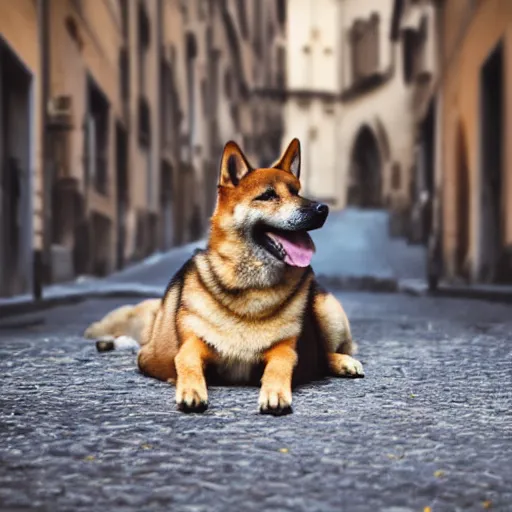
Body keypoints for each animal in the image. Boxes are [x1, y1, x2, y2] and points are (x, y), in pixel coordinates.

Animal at [85, 138, 364, 414]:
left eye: (296, 191)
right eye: (268, 195)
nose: (322, 208)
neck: (252, 285)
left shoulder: (285, 348)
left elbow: (282, 361)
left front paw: (274, 392)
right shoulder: (185, 345)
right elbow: (185, 357)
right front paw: (190, 389)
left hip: (329, 311)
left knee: (323, 353)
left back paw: (344, 362)